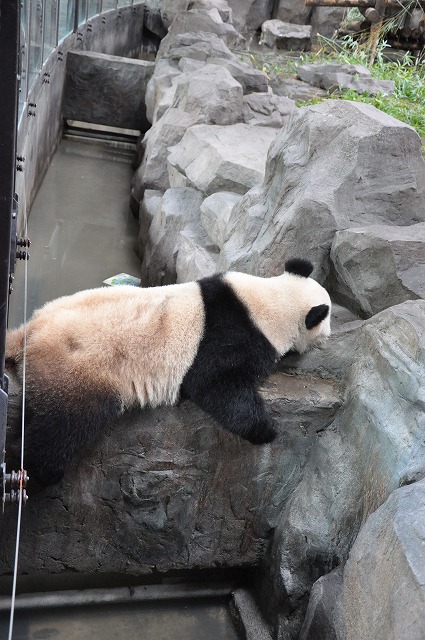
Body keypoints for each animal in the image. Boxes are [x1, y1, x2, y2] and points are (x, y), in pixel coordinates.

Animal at [5, 258, 332, 482]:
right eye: (327, 322)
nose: (328, 336)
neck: (271, 300)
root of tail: (29, 332)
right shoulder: (229, 337)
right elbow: (217, 386)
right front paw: (266, 429)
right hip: (78, 369)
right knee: (66, 426)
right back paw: (33, 468)